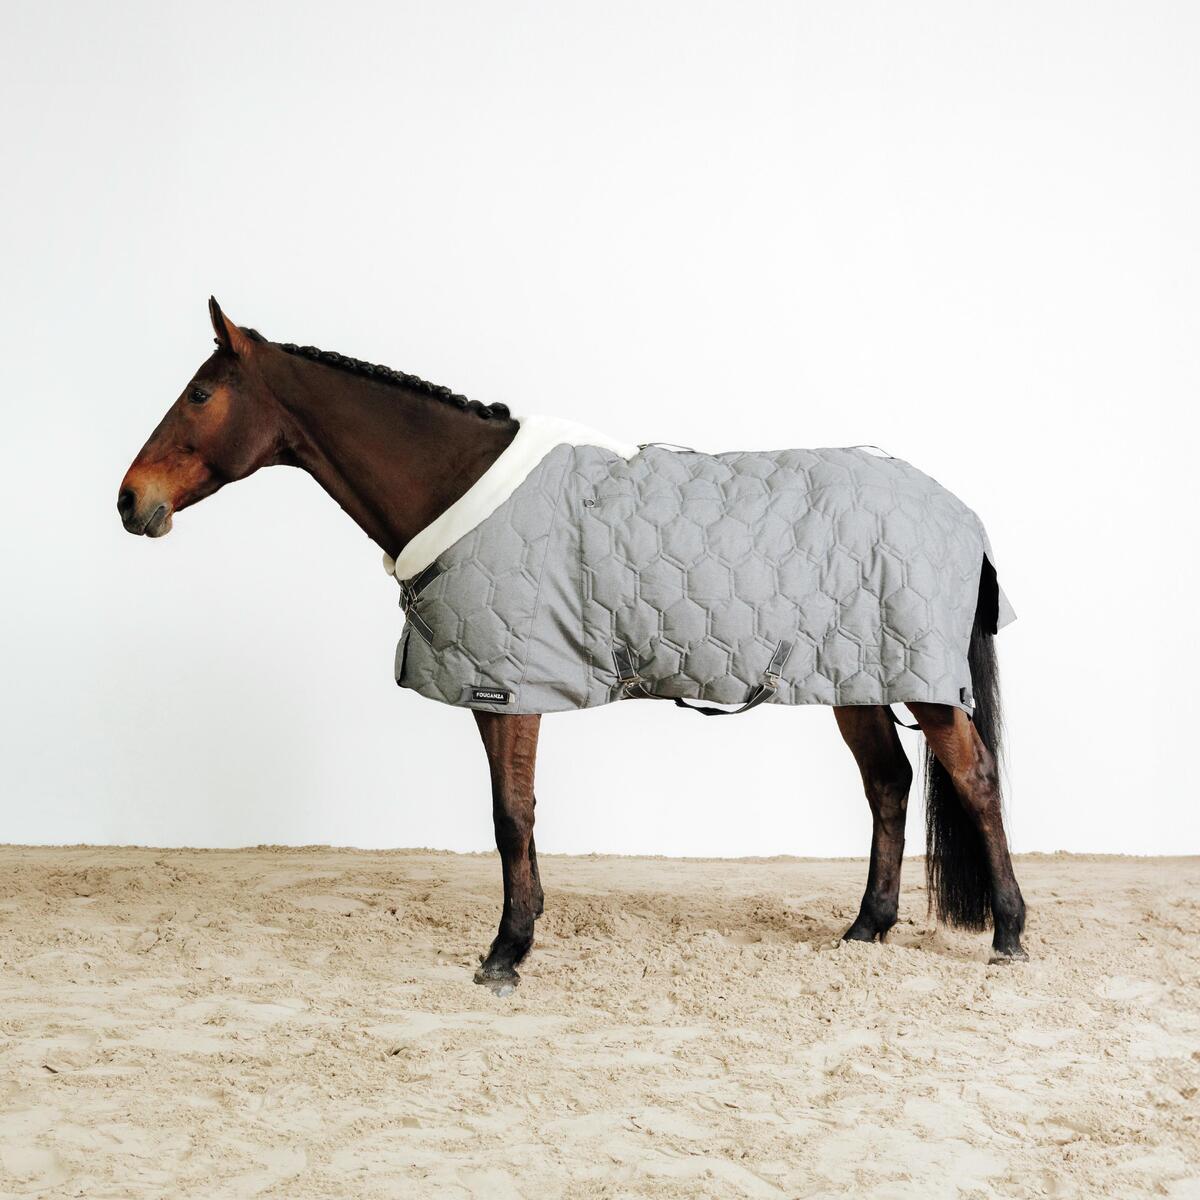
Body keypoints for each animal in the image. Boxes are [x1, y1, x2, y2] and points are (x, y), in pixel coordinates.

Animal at [118, 297, 1027, 991]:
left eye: (201, 394)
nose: (131, 501)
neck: (459, 489)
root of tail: (960, 510)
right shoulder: (502, 689)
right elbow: (509, 815)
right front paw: (519, 934)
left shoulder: (508, 691)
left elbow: (511, 816)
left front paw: (507, 951)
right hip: (853, 674)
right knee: (889, 782)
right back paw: (868, 927)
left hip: (921, 680)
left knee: (974, 778)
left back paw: (1008, 934)